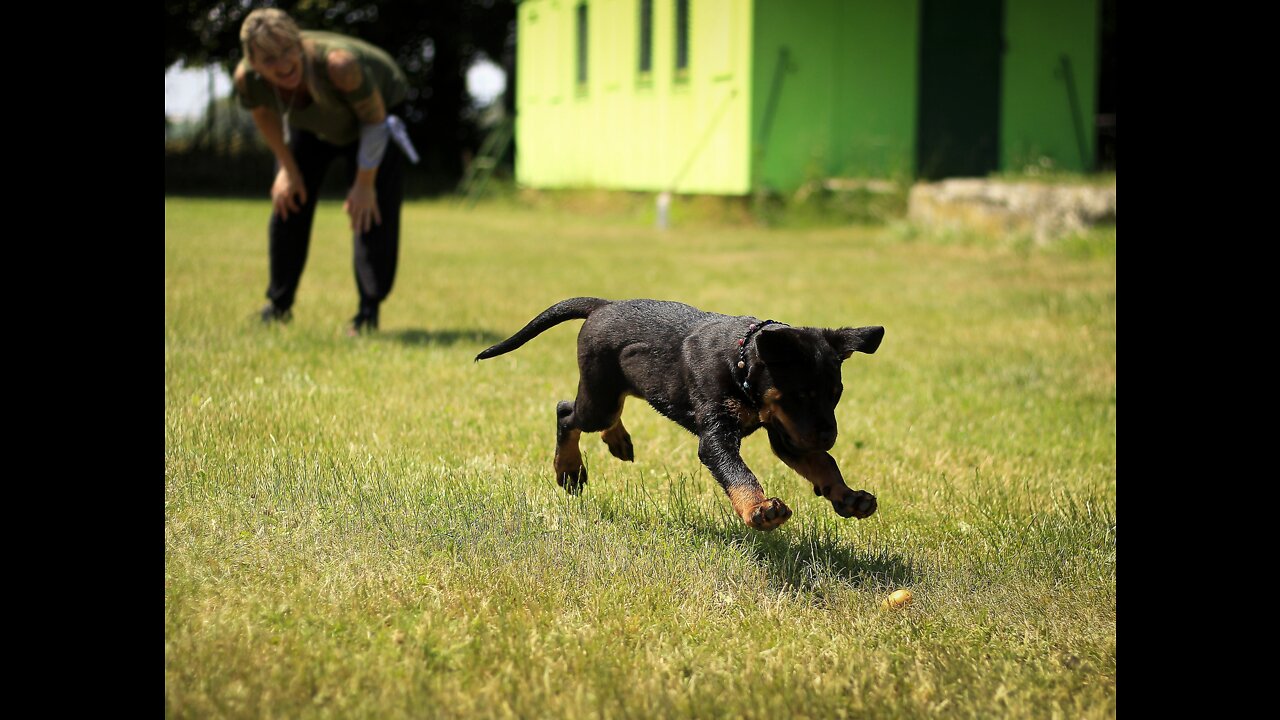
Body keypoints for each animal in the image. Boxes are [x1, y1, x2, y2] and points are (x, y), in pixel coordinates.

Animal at [476, 295, 885, 527]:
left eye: (836, 395)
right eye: (799, 395)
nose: (829, 436)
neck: (740, 363)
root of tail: (602, 305)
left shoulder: (788, 434)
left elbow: (823, 464)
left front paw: (848, 497)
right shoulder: (719, 436)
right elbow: (739, 473)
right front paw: (759, 510)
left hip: (616, 389)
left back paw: (617, 441)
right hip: (599, 397)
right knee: (566, 413)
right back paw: (569, 470)